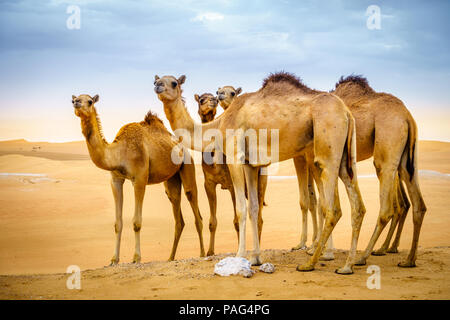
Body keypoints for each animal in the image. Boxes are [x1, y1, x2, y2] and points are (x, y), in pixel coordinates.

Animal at [71, 94, 205, 264]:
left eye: (89, 101)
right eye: (74, 99)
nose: (76, 103)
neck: (119, 153)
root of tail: (182, 147)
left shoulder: (140, 178)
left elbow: (136, 222)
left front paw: (136, 257)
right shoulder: (115, 179)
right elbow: (118, 223)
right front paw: (114, 259)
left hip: (187, 165)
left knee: (195, 207)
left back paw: (203, 253)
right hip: (171, 180)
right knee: (177, 214)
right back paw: (170, 257)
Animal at [194, 92, 266, 255]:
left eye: (213, 96)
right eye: (201, 99)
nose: (214, 100)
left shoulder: (232, 185)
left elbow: (236, 221)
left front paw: (240, 250)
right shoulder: (208, 183)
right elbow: (212, 222)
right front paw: (210, 252)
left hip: (262, 181)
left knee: (259, 216)